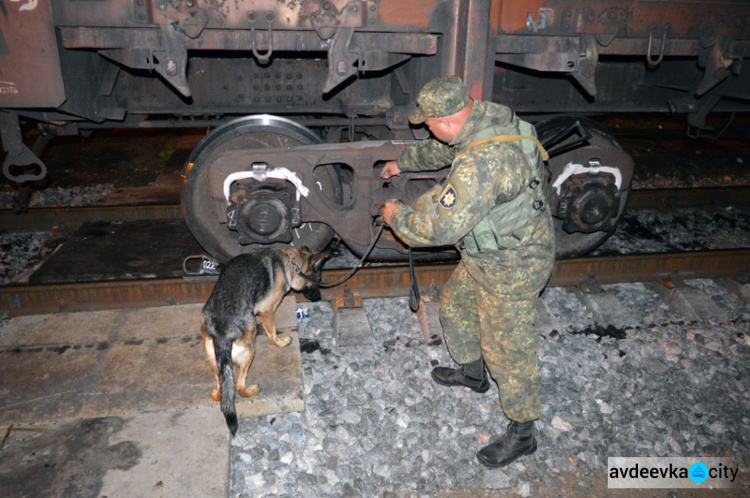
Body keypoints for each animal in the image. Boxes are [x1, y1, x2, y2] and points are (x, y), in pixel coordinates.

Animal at [201, 247, 328, 434]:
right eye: (317, 280)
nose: (319, 297)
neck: (291, 262)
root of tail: (222, 330)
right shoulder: (267, 310)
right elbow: (272, 331)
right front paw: (280, 342)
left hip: (217, 361)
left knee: (222, 390)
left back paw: (216, 393)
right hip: (249, 348)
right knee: (238, 387)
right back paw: (251, 391)